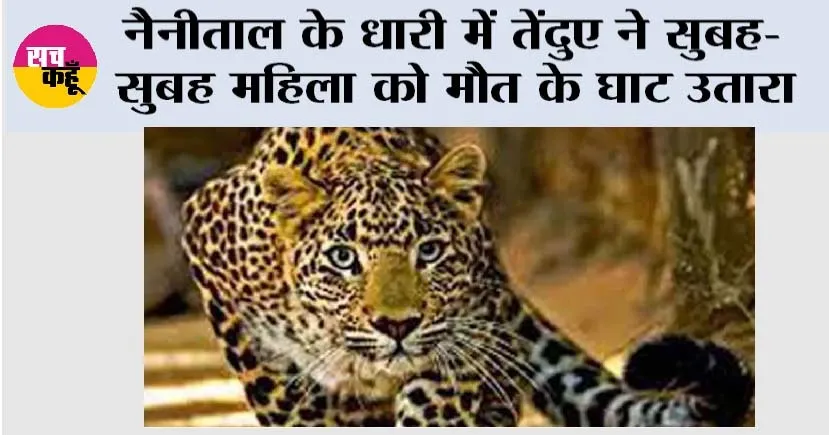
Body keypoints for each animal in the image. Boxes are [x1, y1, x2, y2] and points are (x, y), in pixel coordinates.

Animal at [179, 127, 754, 427]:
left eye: (430, 252)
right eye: (343, 259)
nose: (397, 326)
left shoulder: (471, 332)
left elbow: (438, 396)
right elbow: (288, 398)